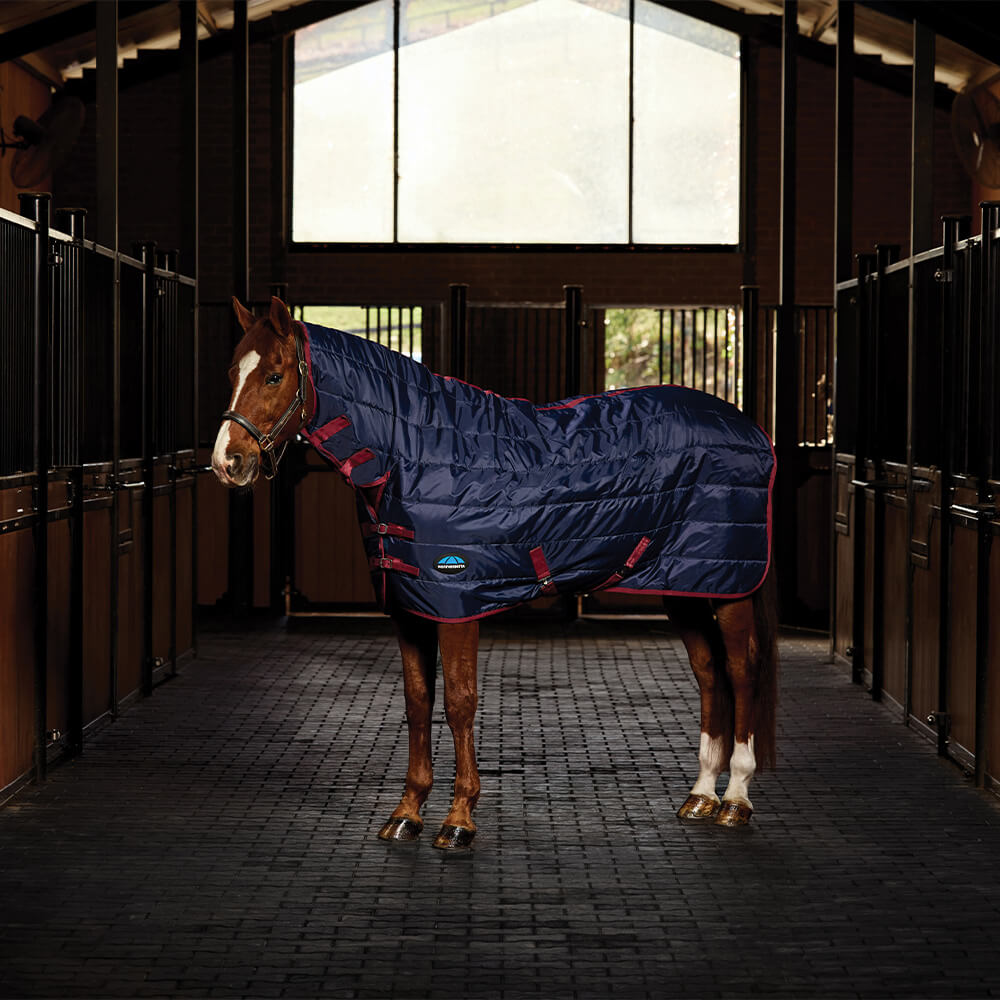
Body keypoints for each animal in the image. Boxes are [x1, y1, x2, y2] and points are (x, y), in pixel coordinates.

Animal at [212, 296, 778, 849]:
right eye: (232, 372)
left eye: (273, 376)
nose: (227, 462)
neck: (412, 452)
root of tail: (748, 427)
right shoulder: (410, 609)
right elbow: (418, 702)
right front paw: (406, 813)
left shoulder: (457, 603)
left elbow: (459, 703)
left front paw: (459, 819)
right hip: (685, 584)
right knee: (709, 674)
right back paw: (700, 796)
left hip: (729, 587)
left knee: (741, 671)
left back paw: (735, 800)